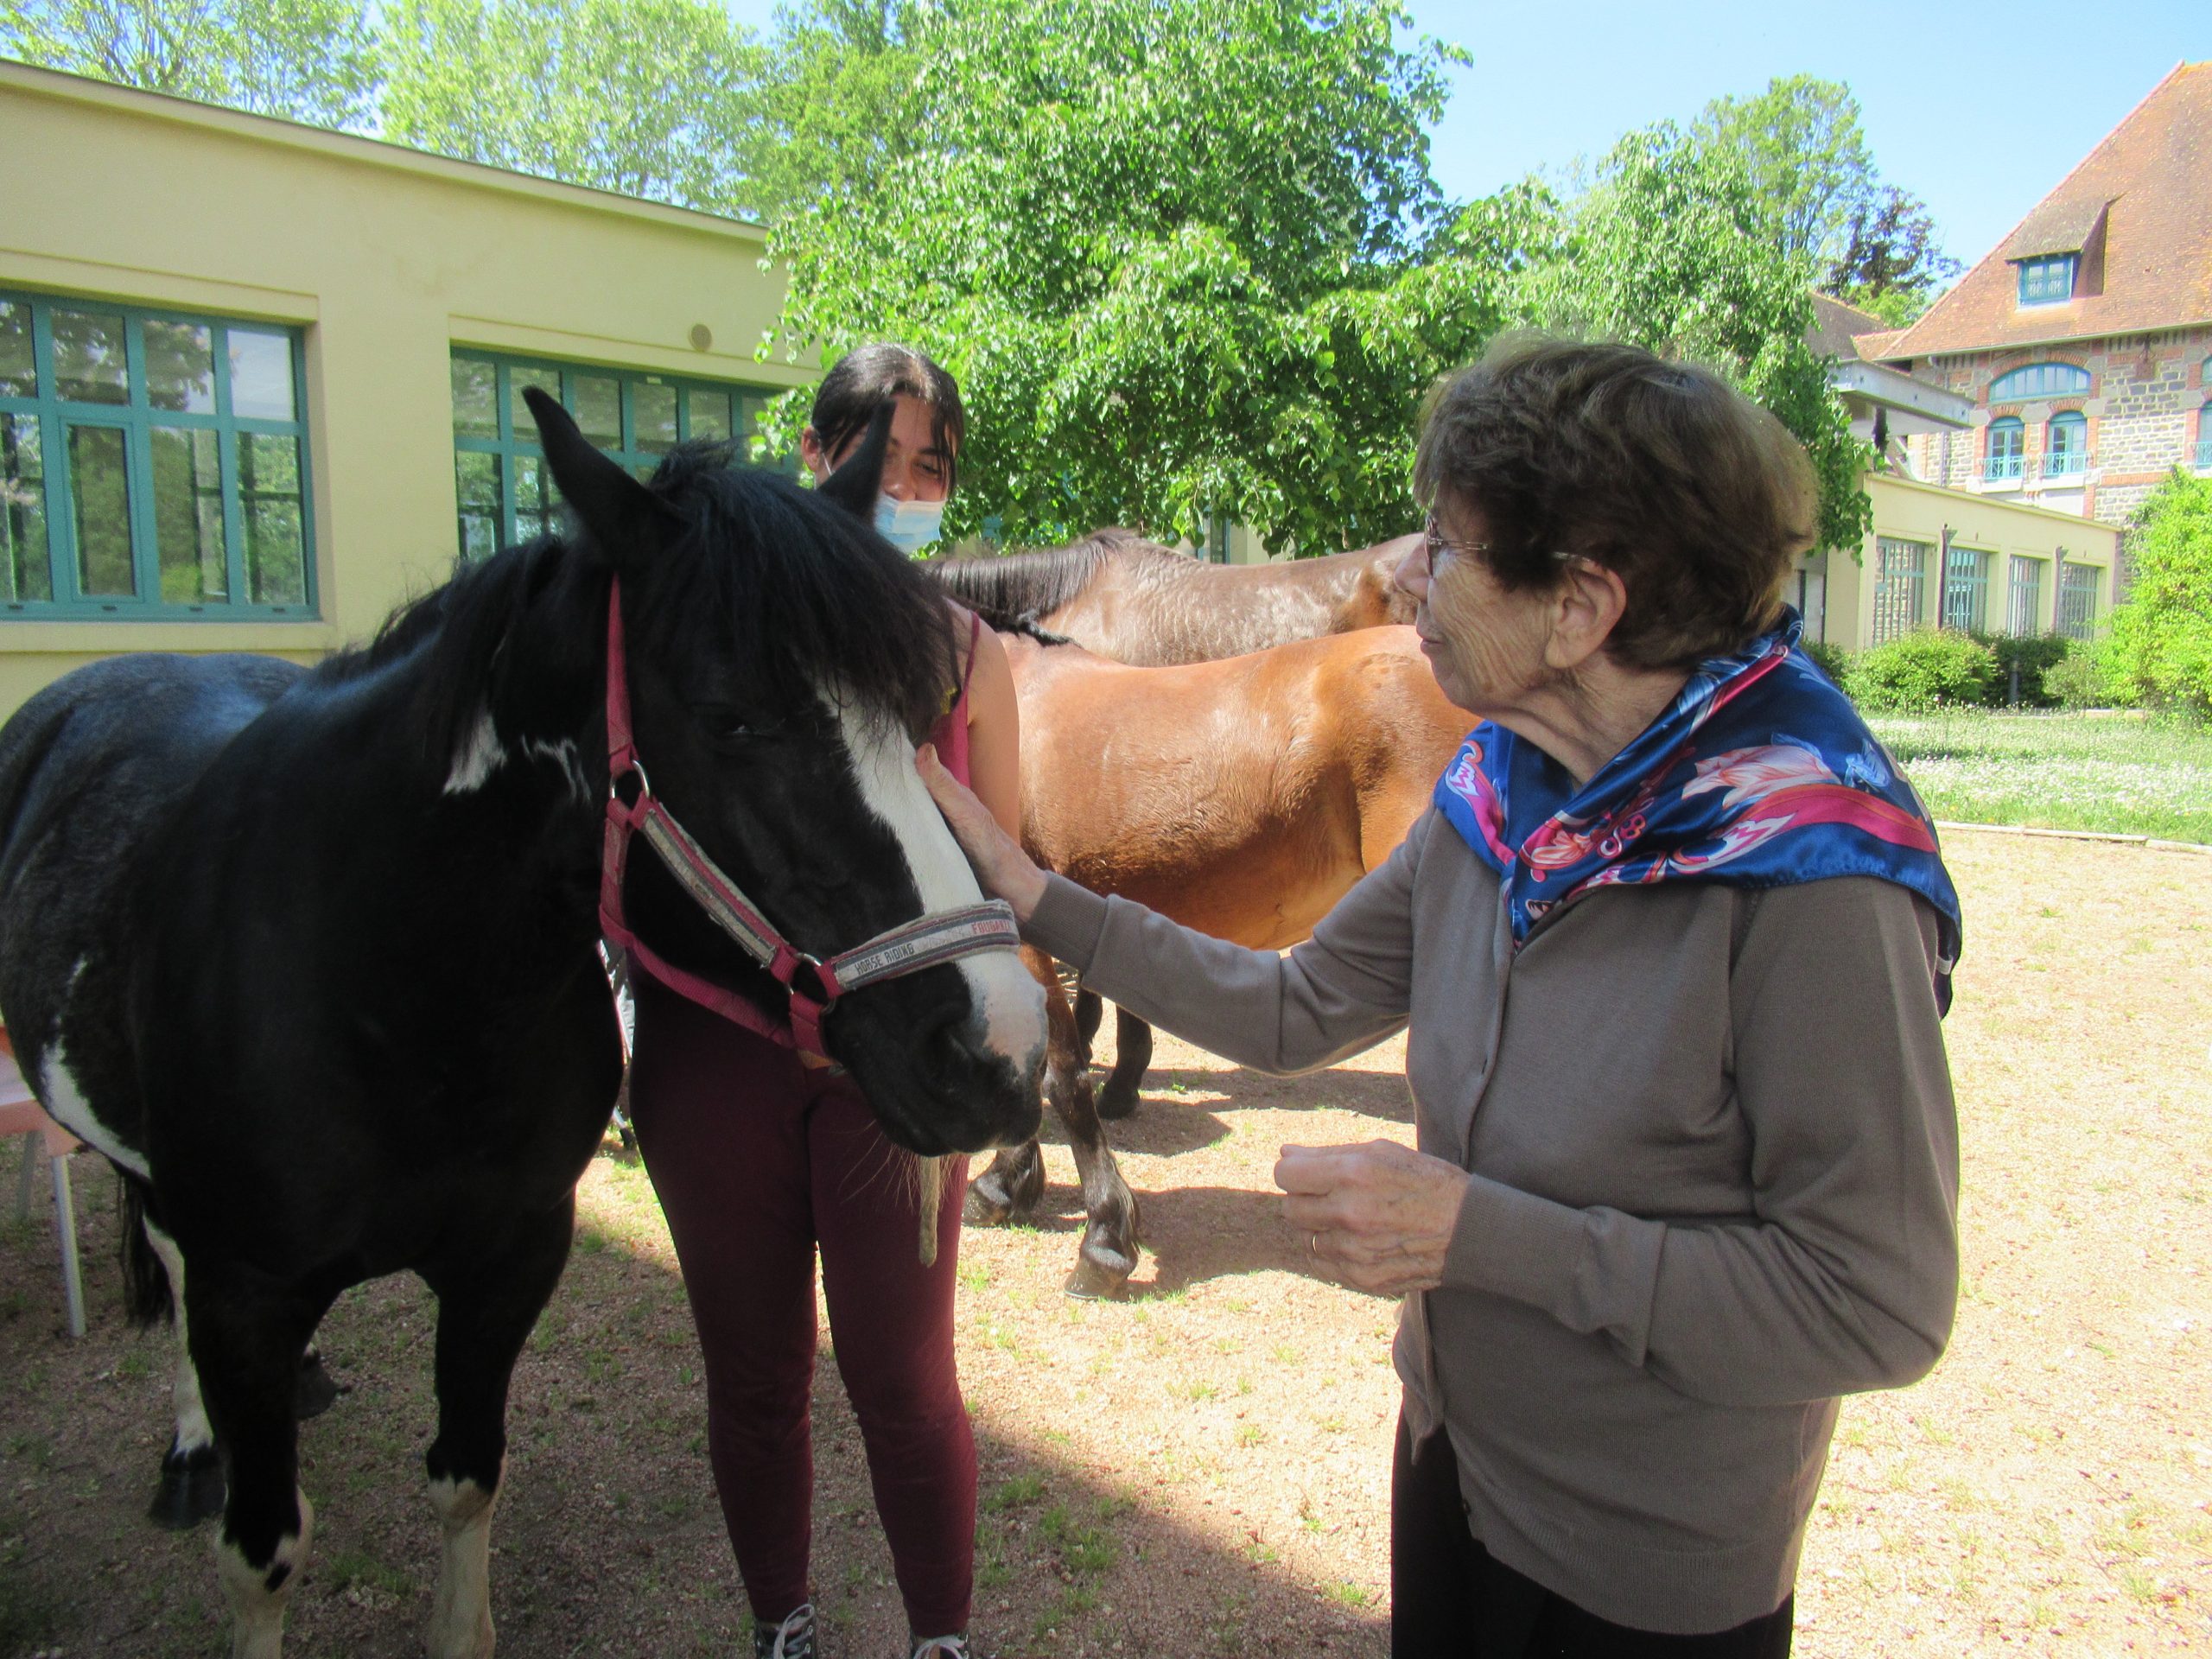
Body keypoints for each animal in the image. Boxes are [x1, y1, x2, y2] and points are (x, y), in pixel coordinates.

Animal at [0, 396, 1044, 1654]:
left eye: (922, 712)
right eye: (732, 719)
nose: (1001, 1050)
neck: (394, 990)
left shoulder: (512, 1257)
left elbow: (466, 1476)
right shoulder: (245, 1291)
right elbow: (263, 1553)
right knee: (162, 1248)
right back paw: (198, 1445)